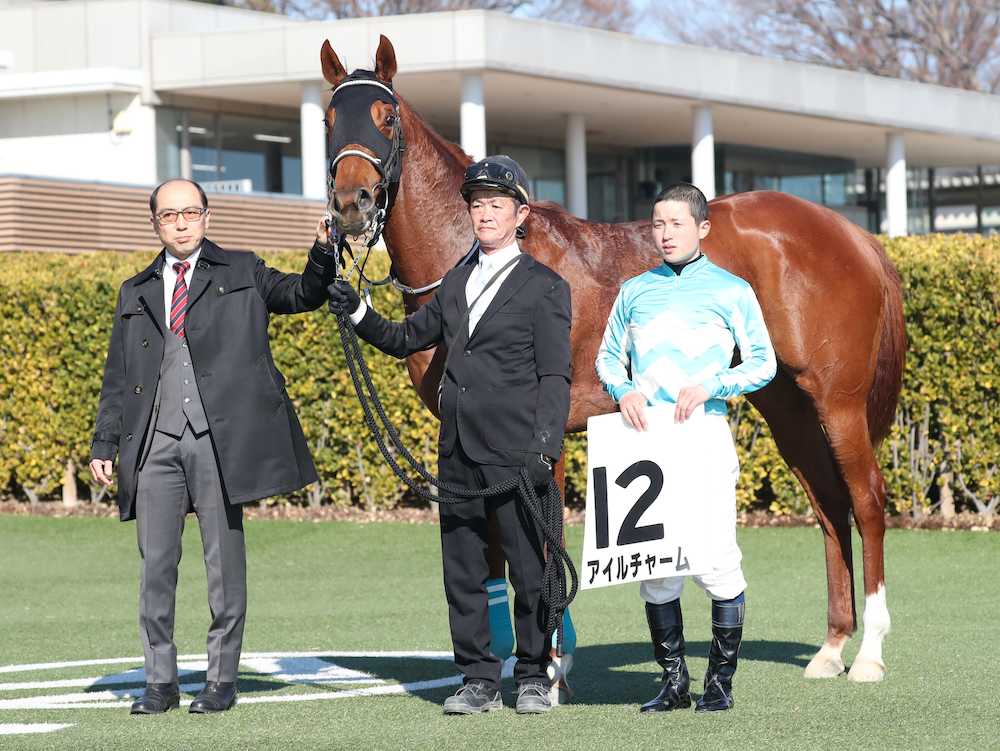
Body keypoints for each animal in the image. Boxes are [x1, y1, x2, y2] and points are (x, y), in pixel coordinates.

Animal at [320, 34, 905, 684]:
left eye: (386, 117)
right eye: (328, 119)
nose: (351, 204)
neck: (482, 259)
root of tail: (852, 235)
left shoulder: (536, 435)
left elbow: (539, 538)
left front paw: (549, 663)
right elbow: (500, 547)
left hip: (838, 402)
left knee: (867, 501)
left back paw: (870, 653)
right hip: (788, 407)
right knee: (829, 505)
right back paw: (832, 646)